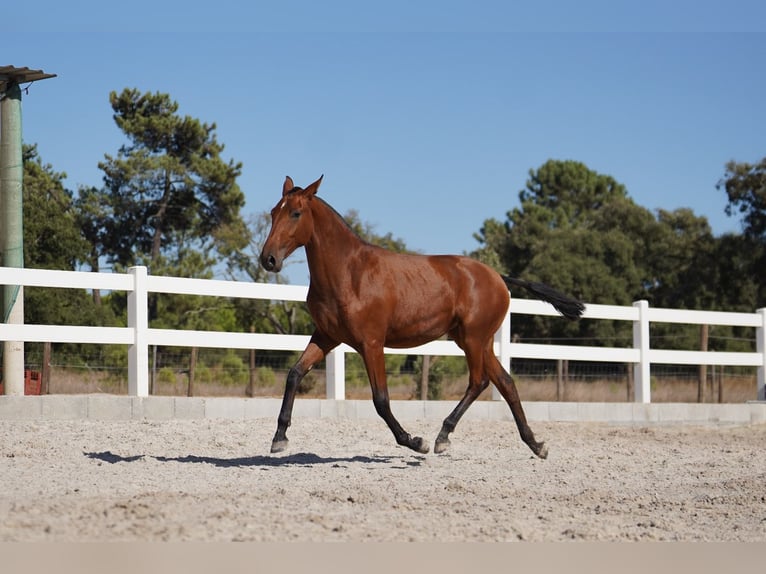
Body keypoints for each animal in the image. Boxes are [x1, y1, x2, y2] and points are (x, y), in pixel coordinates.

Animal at [260, 176, 584, 460]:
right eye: (274, 212)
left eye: (296, 213)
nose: (268, 259)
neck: (349, 273)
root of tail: (498, 278)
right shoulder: (327, 337)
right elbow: (294, 374)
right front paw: (279, 439)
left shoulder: (371, 343)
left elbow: (381, 400)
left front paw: (415, 442)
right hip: (477, 341)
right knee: (505, 383)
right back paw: (536, 445)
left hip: (474, 339)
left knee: (479, 382)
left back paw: (442, 438)